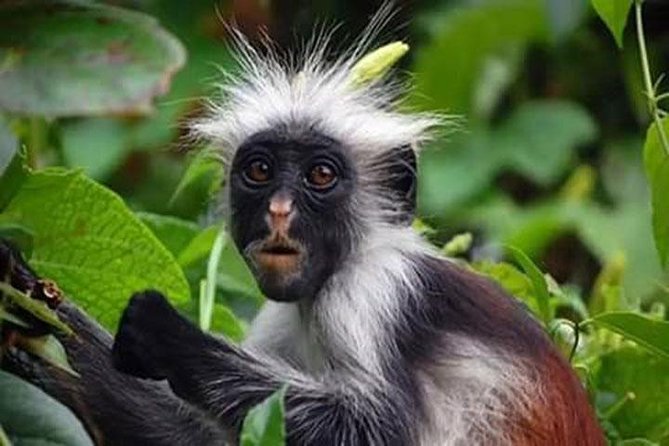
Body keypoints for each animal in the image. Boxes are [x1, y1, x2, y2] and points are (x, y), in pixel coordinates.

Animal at [1, 10, 604, 446]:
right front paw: (30, 304)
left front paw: (166, 335)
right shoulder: (281, 315)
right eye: (260, 171)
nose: (279, 210)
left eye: (320, 175)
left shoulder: (375, 292)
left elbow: (379, 430)